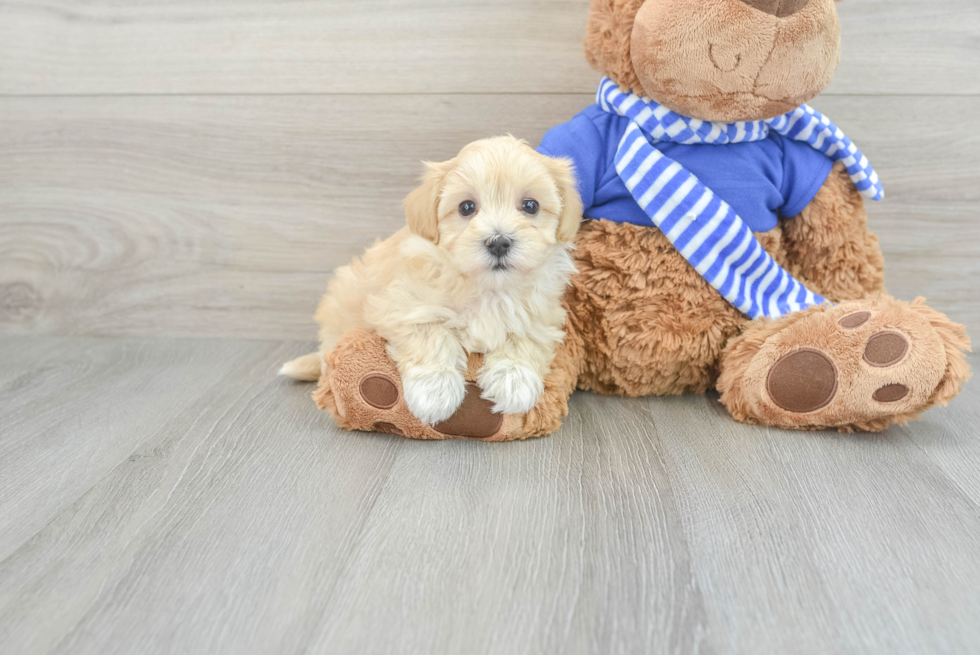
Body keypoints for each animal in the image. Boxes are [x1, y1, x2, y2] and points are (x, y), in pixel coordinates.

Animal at [280, 137, 580, 426]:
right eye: (466, 207)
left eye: (530, 206)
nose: (498, 242)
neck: (486, 286)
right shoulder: (403, 306)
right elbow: (431, 333)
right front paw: (435, 391)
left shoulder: (540, 316)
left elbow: (523, 337)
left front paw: (514, 380)